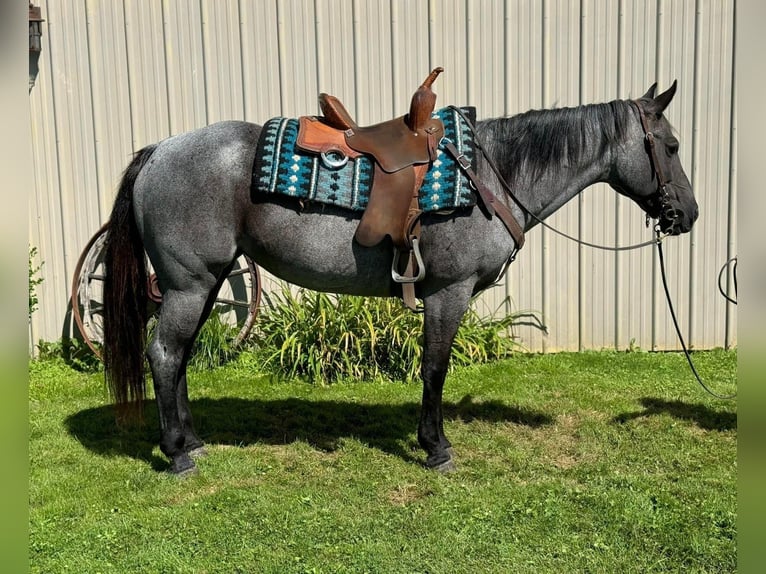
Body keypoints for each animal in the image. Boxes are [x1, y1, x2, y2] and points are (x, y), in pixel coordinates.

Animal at [100, 81, 696, 476]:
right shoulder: (448, 293)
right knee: (164, 355)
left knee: (178, 357)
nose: (687, 215)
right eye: (671, 147)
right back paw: (177, 453)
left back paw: (193, 440)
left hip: (208, 280)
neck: (490, 176)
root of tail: (159, 151)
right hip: (190, 283)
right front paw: (436, 446)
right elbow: (434, 368)